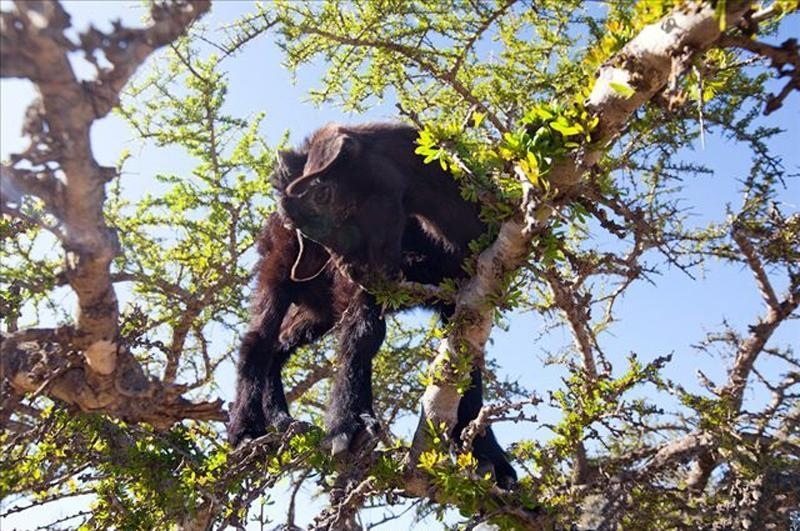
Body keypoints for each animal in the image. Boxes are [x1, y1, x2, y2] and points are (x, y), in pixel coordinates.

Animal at [228, 123, 516, 486]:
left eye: (322, 194)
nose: (350, 272)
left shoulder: (463, 297)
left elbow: (465, 363)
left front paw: (488, 458)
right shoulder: (372, 289)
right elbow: (363, 337)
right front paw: (349, 427)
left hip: (319, 309)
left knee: (281, 345)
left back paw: (282, 420)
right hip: (278, 269)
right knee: (258, 339)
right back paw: (247, 431)